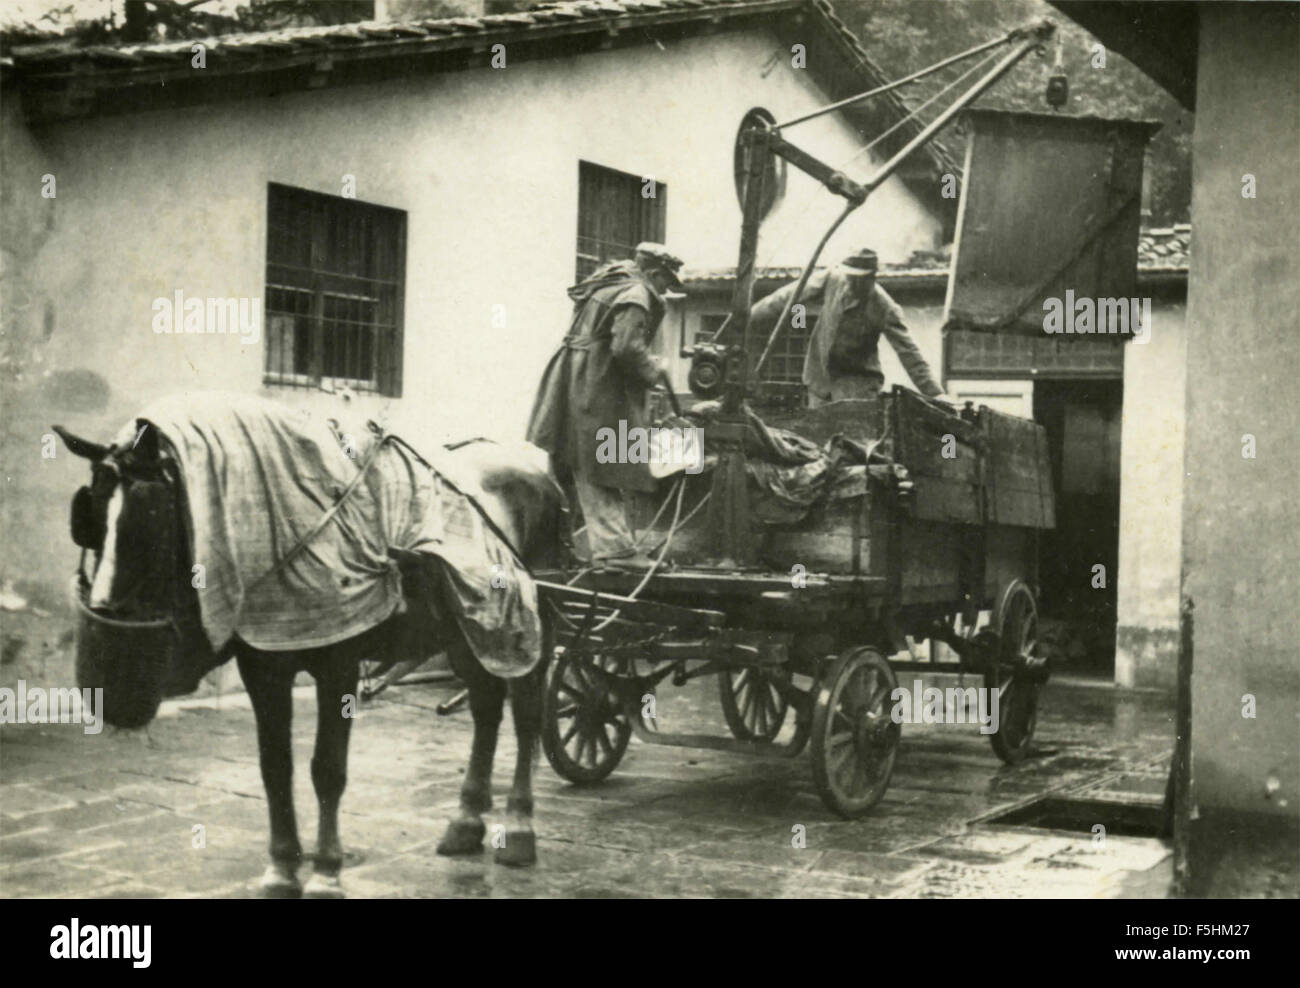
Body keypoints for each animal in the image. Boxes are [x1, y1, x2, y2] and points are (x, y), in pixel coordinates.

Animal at [55, 397, 564, 899]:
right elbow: (275, 768)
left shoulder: (339, 667)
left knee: (526, 717)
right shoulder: (263, 670)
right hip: (470, 630)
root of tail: (537, 469)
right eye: (89, 513)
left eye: (154, 515)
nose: (106, 613)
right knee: (486, 709)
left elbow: (327, 770)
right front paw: (282, 869)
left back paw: (520, 826)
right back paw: (466, 820)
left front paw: (326, 872)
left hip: (535, 624)